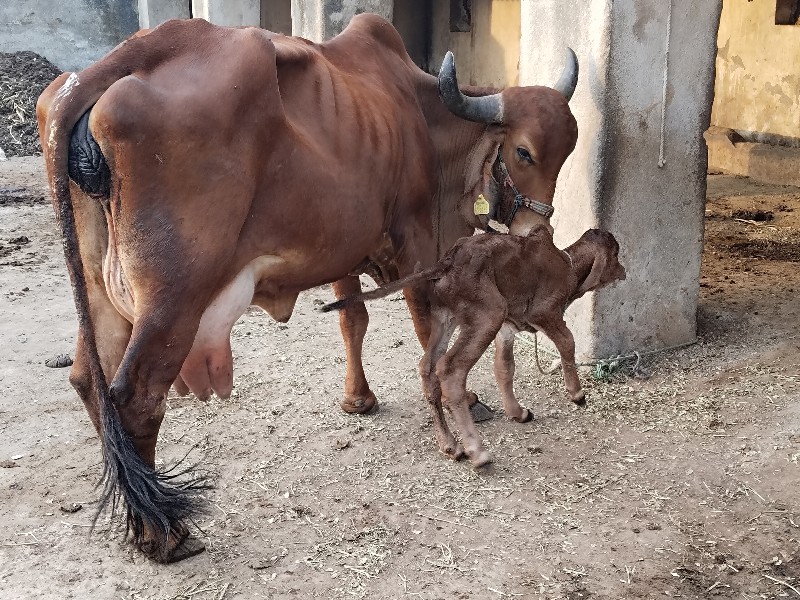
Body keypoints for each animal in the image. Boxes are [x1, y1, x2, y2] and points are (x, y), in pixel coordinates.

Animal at [322, 227, 628, 466]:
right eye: (616, 253)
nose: (625, 271)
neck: (568, 264)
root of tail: (447, 262)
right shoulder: (544, 312)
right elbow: (568, 342)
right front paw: (577, 394)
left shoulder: (507, 328)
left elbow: (504, 368)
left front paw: (517, 412)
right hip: (487, 315)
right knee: (450, 370)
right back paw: (477, 452)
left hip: (446, 317)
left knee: (427, 367)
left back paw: (451, 446)